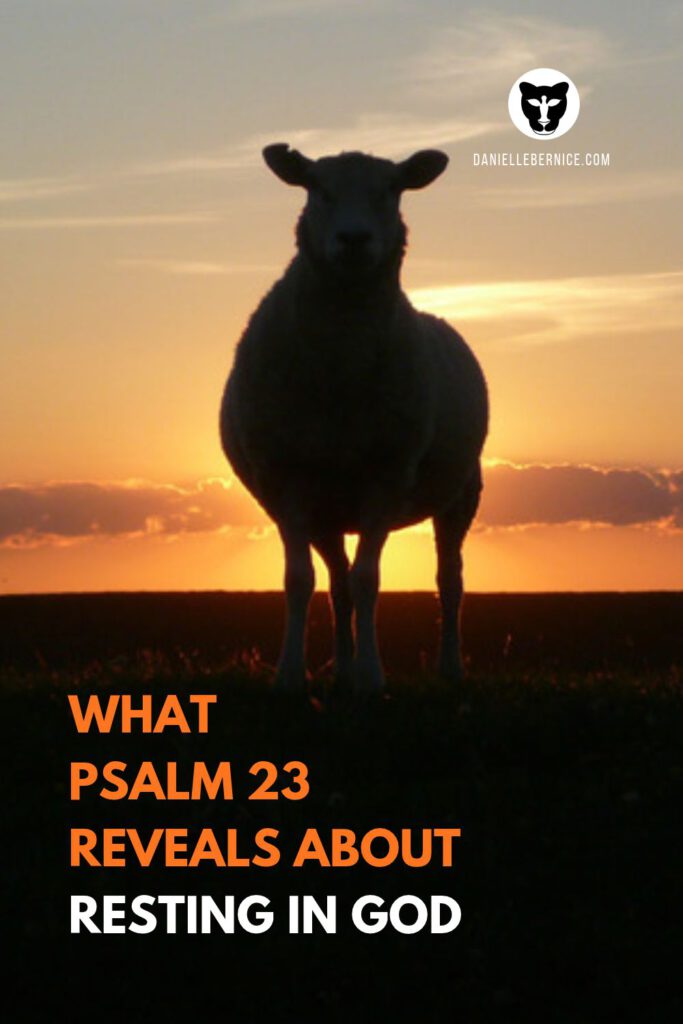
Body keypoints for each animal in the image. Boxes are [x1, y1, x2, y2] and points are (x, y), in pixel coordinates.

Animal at [220, 143, 488, 694]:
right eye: (317, 189)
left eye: (392, 189)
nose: (354, 239)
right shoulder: (288, 479)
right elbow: (300, 581)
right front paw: (291, 675)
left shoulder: (386, 475)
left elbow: (369, 580)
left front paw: (370, 676)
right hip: (327, 509)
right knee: (337, 583)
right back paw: (340, 668)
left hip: (461, 495)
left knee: (449, 581)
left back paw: (449, 668)